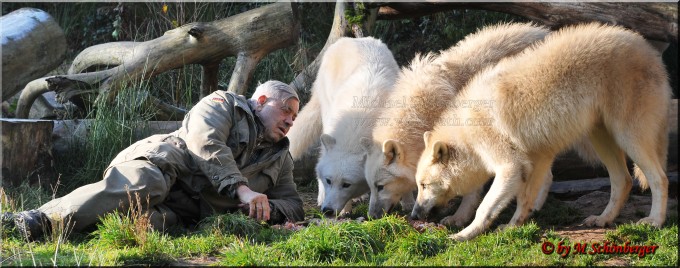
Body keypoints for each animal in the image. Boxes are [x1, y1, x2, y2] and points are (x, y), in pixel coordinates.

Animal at [358, 22, 548, 222]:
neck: (422, 113)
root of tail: (544, 30)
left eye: (380, 186)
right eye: (370, 186)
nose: (370, 216)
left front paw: (459, 218)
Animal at [412, 22, 672, 241]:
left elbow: (485, 207)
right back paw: (603, 219)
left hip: (628, 137)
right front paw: (514, 226)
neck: (467, 132)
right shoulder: (536, 159)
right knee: (623, 180)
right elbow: (524, 198)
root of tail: (649, 50)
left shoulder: (510, 166)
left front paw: (462, 235)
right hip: (601, 138)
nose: (413, 214)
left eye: (424, 185)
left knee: (659, 178)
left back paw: (654, 221)